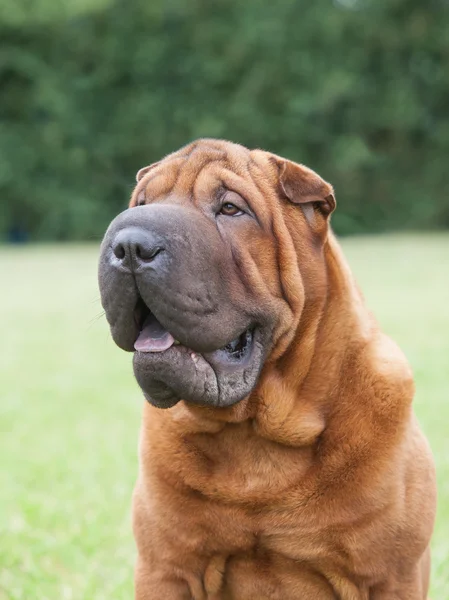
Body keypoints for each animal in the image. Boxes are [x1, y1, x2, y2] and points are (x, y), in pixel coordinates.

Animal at [97, 141, 434, 600]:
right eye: (142, 204)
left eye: (230, 209)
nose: (130, 246)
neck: (257, 434)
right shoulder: (167, 569)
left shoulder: (389, 577)